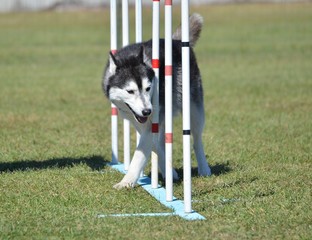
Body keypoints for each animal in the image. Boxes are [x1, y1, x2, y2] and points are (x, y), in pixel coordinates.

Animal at [103, 13, 211, 189]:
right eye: (130, 91)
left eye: (148, 88)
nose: (147, 111)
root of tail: (176, 40)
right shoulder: (137, 119)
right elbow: (153, 144)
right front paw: (169, 170)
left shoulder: (153, 117)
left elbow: (140, 153)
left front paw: (127, 181)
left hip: (193, 108)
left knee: (196, 139)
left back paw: (204, 167)